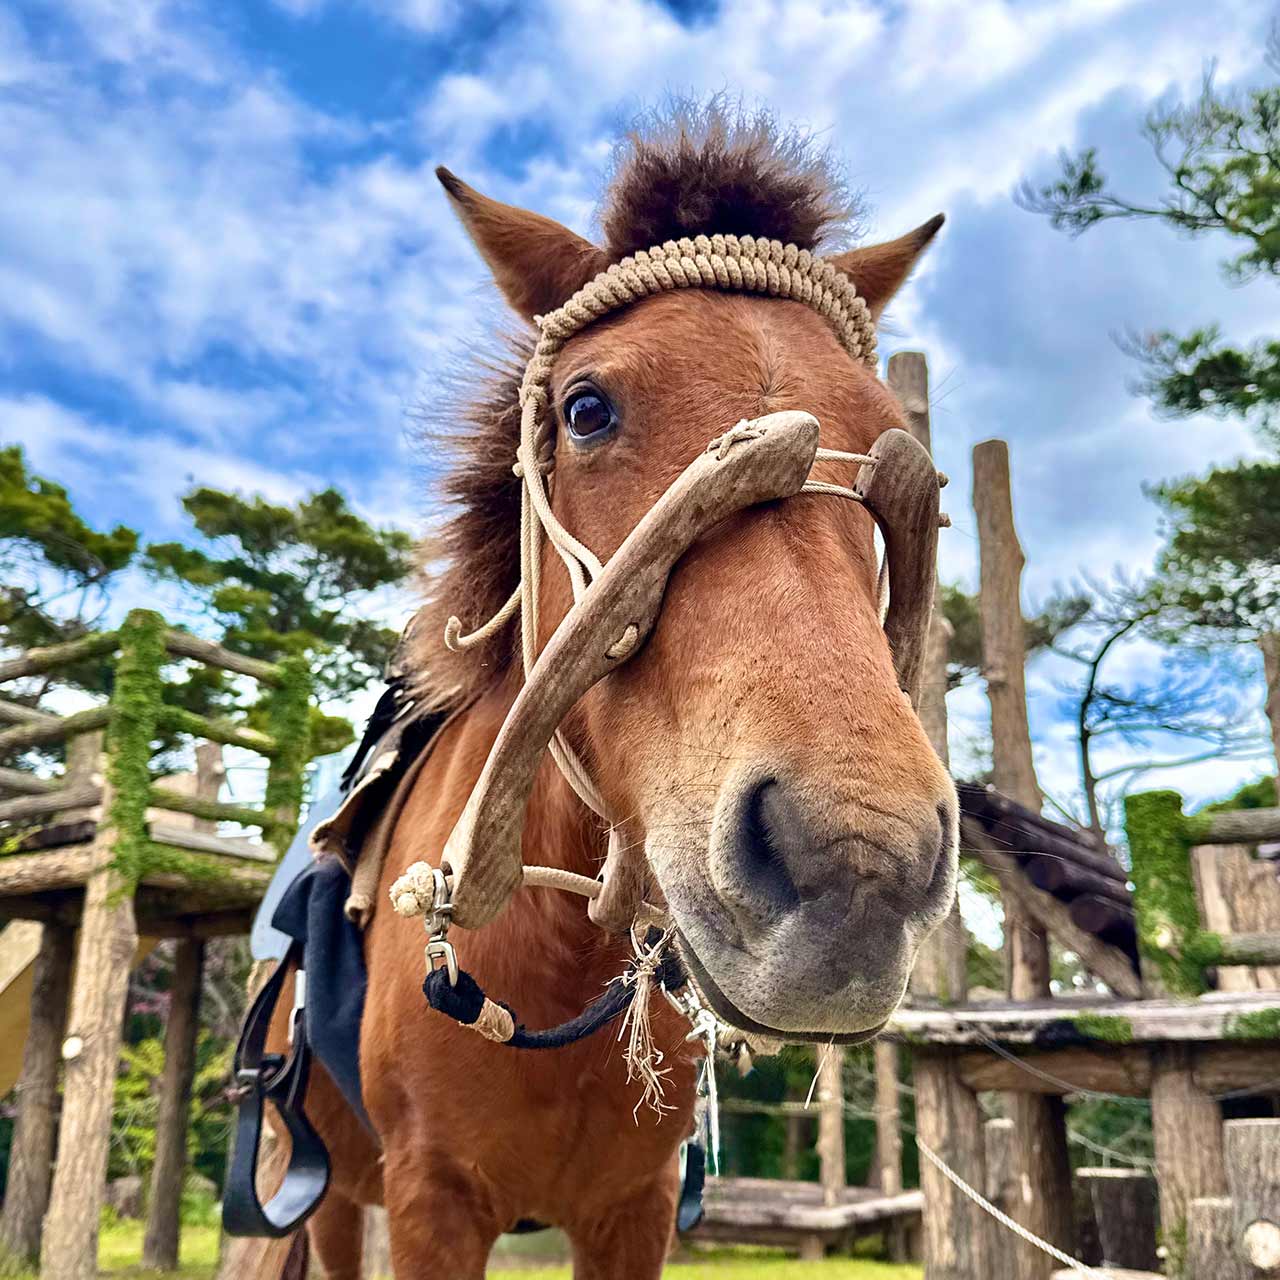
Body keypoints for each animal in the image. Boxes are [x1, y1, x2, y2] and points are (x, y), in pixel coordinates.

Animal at [227, 107, 958, 1280]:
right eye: (585, 408)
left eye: (886, 432)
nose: (854, 858)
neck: (555, 961)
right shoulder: (432, 1203)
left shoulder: (634, 1205)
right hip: (332, 1190)